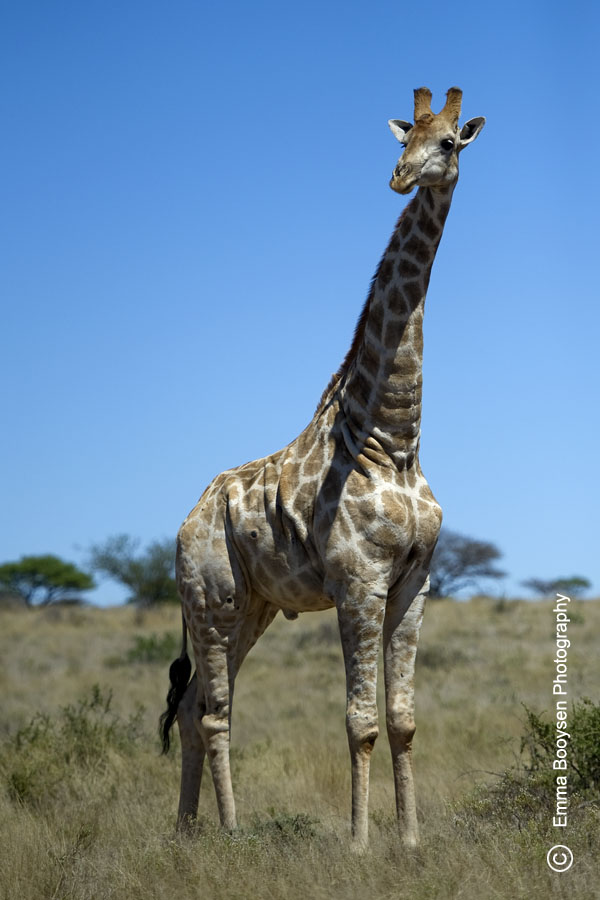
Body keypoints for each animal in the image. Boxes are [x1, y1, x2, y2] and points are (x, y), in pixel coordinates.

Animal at [161, 86, 485, 848]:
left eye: (448, 141)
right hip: (211, 601)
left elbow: (403, 720)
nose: (401, 176)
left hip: (250, 605)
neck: (393, 439)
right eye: (403, 138)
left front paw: (409, 841)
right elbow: (359, 722)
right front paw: (362, 844)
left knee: (190, 709)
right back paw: (230, 833)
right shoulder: (358, 582)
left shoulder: (414, 584)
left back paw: (188, 832)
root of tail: (183, 525)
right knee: (214, 713)